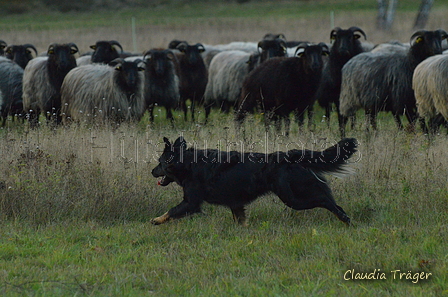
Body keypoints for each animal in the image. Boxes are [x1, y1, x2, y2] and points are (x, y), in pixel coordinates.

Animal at [152, 136, 358, 224]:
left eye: (159, 162)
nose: (152, 171)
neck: (187, 163)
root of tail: (289, 156)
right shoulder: (235, 203)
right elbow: (240, 221)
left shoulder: (191, 202)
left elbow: (172, 210)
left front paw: (157, 220)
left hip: (294, 198)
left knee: (326, 201)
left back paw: (346, 219)